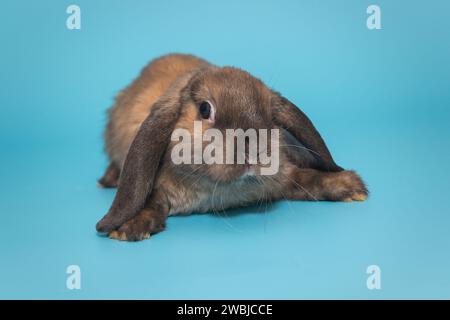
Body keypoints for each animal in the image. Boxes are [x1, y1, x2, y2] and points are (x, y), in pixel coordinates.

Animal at [96, 53, 368, 241]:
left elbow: (307, 178)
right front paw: (128, 226)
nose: (254, 148)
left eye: (270, 116)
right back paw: (107, 180)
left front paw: (349, 186)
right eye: (205, 109)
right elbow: (151, 200)